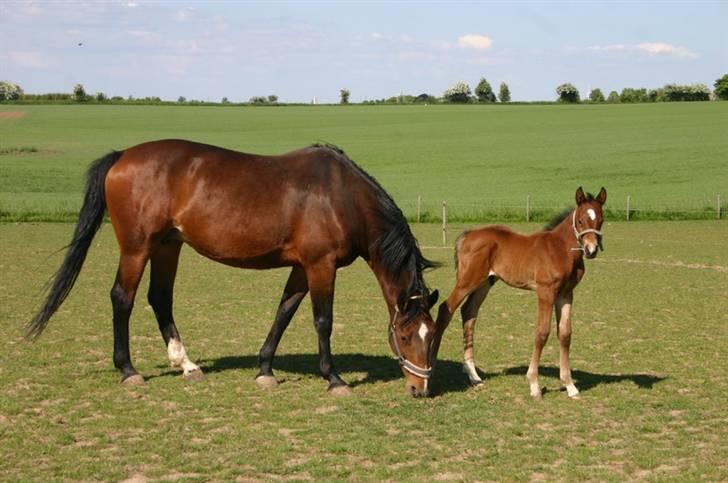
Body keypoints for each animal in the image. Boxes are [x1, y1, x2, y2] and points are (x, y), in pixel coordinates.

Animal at [27, 139, 438, 398]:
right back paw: (128, 370)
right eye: (404, 337)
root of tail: (123, 155)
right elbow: (322, 320)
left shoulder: (301, 267)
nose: (419, 389)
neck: (341, 196)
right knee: (122, 298)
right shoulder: (321, 265)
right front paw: (334, 378)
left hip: (167, 246)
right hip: (136, 248)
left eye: (431, 336)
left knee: (159, 298)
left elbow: (284, 312)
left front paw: (265, 370)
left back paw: (186, 365)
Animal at [432, 187, 608, 398]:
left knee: (469, 313)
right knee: (446, 309)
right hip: (467, 281)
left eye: (601, 220)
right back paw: (431, 367)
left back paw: (474, 376)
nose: (591, 250)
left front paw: (570, 385)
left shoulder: (566, 294)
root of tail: (468, 235)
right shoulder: (546, 292)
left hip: (484, 283)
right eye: (580, 220)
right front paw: (534, 385)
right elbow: (542, 332)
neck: (561, 249)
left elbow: (565, 334)